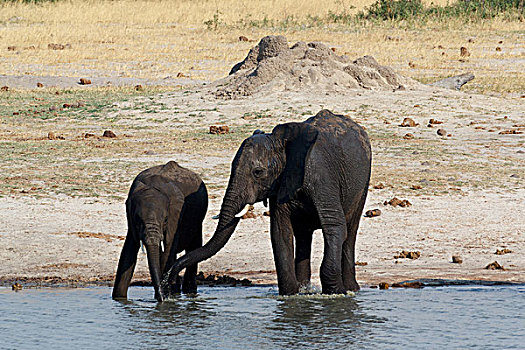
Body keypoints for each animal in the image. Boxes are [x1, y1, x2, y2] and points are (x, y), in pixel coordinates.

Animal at [112, 161, 207, 300]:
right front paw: (119, 299)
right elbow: (127, 254)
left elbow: (166, 252)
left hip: (197, 219)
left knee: (191, 246)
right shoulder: (131, 222)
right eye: (138, 220)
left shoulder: (176, 216)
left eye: (166, 220)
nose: (161, 298)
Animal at [164, 110, 368, 296]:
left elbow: (334, 226)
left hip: (362, 185)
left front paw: (336, 294)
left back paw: (351, 289)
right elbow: (280, 232)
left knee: (350, 231)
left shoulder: (321, 175)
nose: (170, 280)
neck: (282, 143)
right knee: (303, 235)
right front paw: (291, 296)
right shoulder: (280, 183)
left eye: (258, 172)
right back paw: (306, 290)